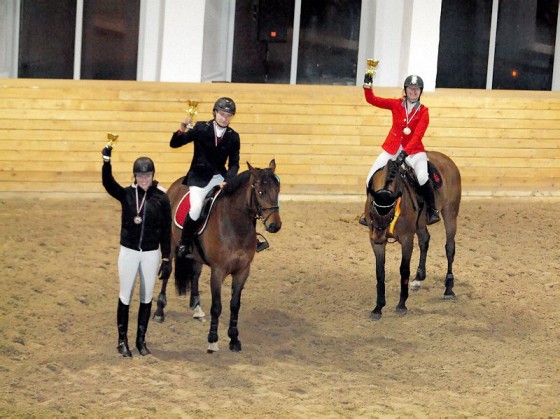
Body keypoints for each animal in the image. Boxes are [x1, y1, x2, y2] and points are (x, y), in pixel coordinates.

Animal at [153, 159, 280, 352]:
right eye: (260, 192)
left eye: (278, 190)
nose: (275, 226)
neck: (235, 226)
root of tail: (177, 184)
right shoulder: (218, 271)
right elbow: (217, 307)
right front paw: (212, 340)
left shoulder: (243, 271)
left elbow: (235, 305)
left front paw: (234, 339)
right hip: (172, 246)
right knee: (167, 272)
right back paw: (160, 311)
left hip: (196, 256)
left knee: (195, 274)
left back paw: (196, 308)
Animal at [366, 153, 462, 320]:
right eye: (371, 209)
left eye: (391, 212)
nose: (378, 237)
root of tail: (446, 158)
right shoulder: (376, 243)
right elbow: (380, 272)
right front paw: (378, 308)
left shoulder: (406, 239)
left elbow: (404, 270)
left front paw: (401, 305)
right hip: (421, 223)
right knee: (424, 240)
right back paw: (418, 279)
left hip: (450, 213)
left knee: (450, 248)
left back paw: (449, 289)